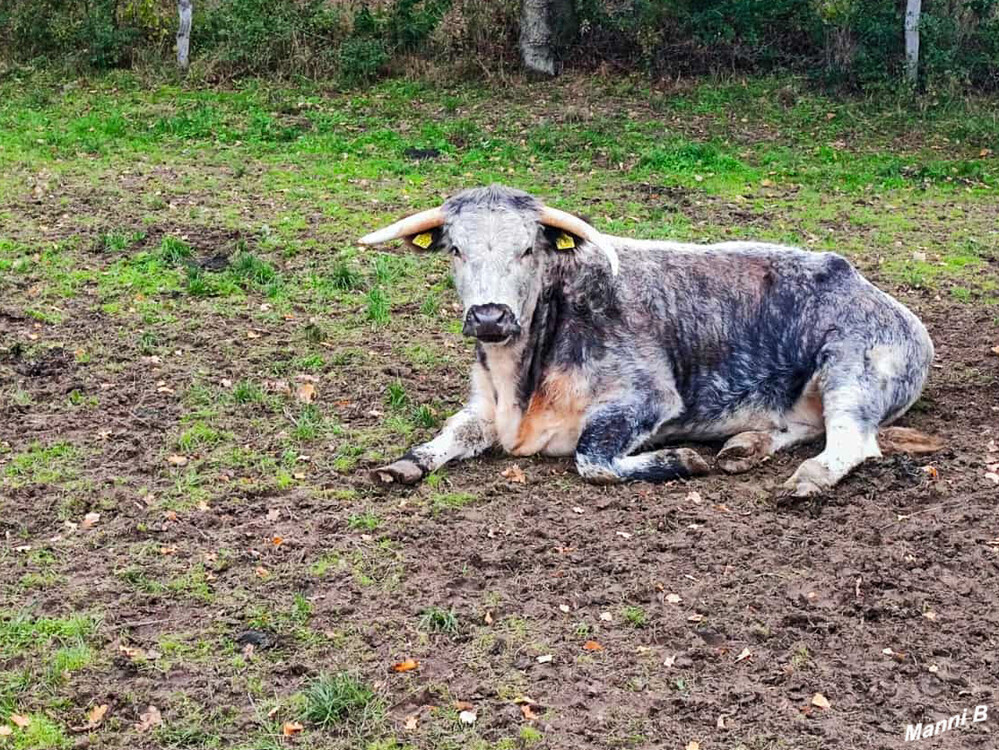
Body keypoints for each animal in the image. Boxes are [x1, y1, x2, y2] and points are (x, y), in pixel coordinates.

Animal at [356, 185, 932, 496]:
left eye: (527, 249)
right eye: (455, 248)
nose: (490, 317)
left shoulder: (647, 398)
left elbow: (592, 459)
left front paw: (683, 460)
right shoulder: (483, 404)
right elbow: (453, 432)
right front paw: (406, 462)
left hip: (850, 373)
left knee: (852, 442)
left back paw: (805, 477)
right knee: (803, 427)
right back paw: (744, 446)